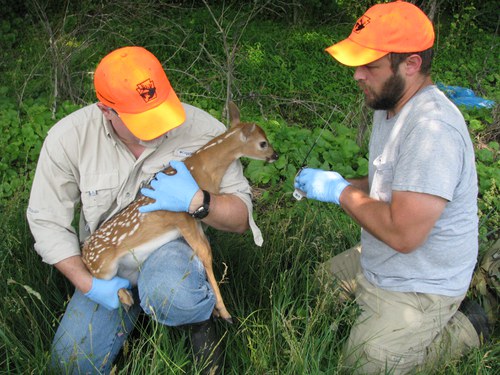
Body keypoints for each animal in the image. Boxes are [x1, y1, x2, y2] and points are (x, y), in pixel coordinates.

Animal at [81, 102, 278, 324]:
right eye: (263, 143)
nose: (275, 155)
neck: (203, 172)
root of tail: (85, 252)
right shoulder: (180, 217)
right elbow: (204, 253)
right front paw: (225, 313)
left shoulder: (196, 218)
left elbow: (204, 250)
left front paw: (216, 309)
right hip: (103, 266)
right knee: (98, 280)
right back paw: (125, 298)